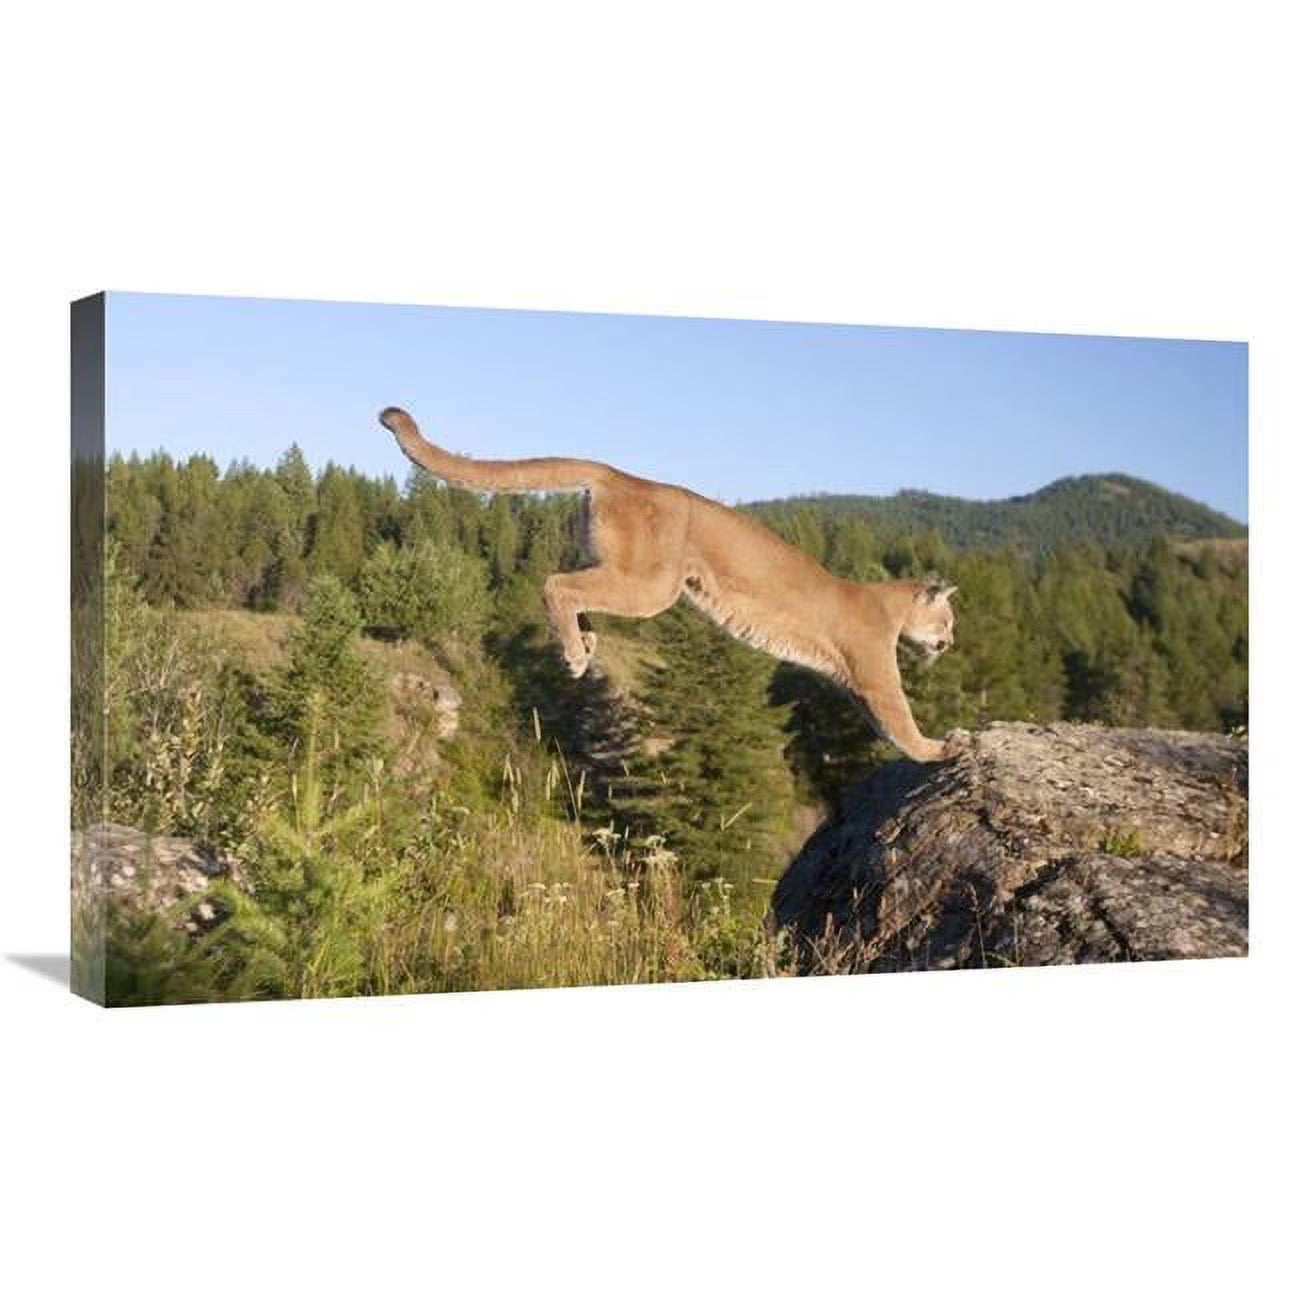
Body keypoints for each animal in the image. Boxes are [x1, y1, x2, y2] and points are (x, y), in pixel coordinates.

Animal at [379, 407, 966, 762]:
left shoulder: (851, 683)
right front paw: (940, 749)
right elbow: (900, 718)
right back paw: (575, 653)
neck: (892, 606)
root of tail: (622, 475)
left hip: (622, 567)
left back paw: (583, 643)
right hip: (651, 585)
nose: (950, 642)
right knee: (556, 583)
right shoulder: (874, 674)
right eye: (948, 618)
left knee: (571, 583)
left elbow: (883, 726)